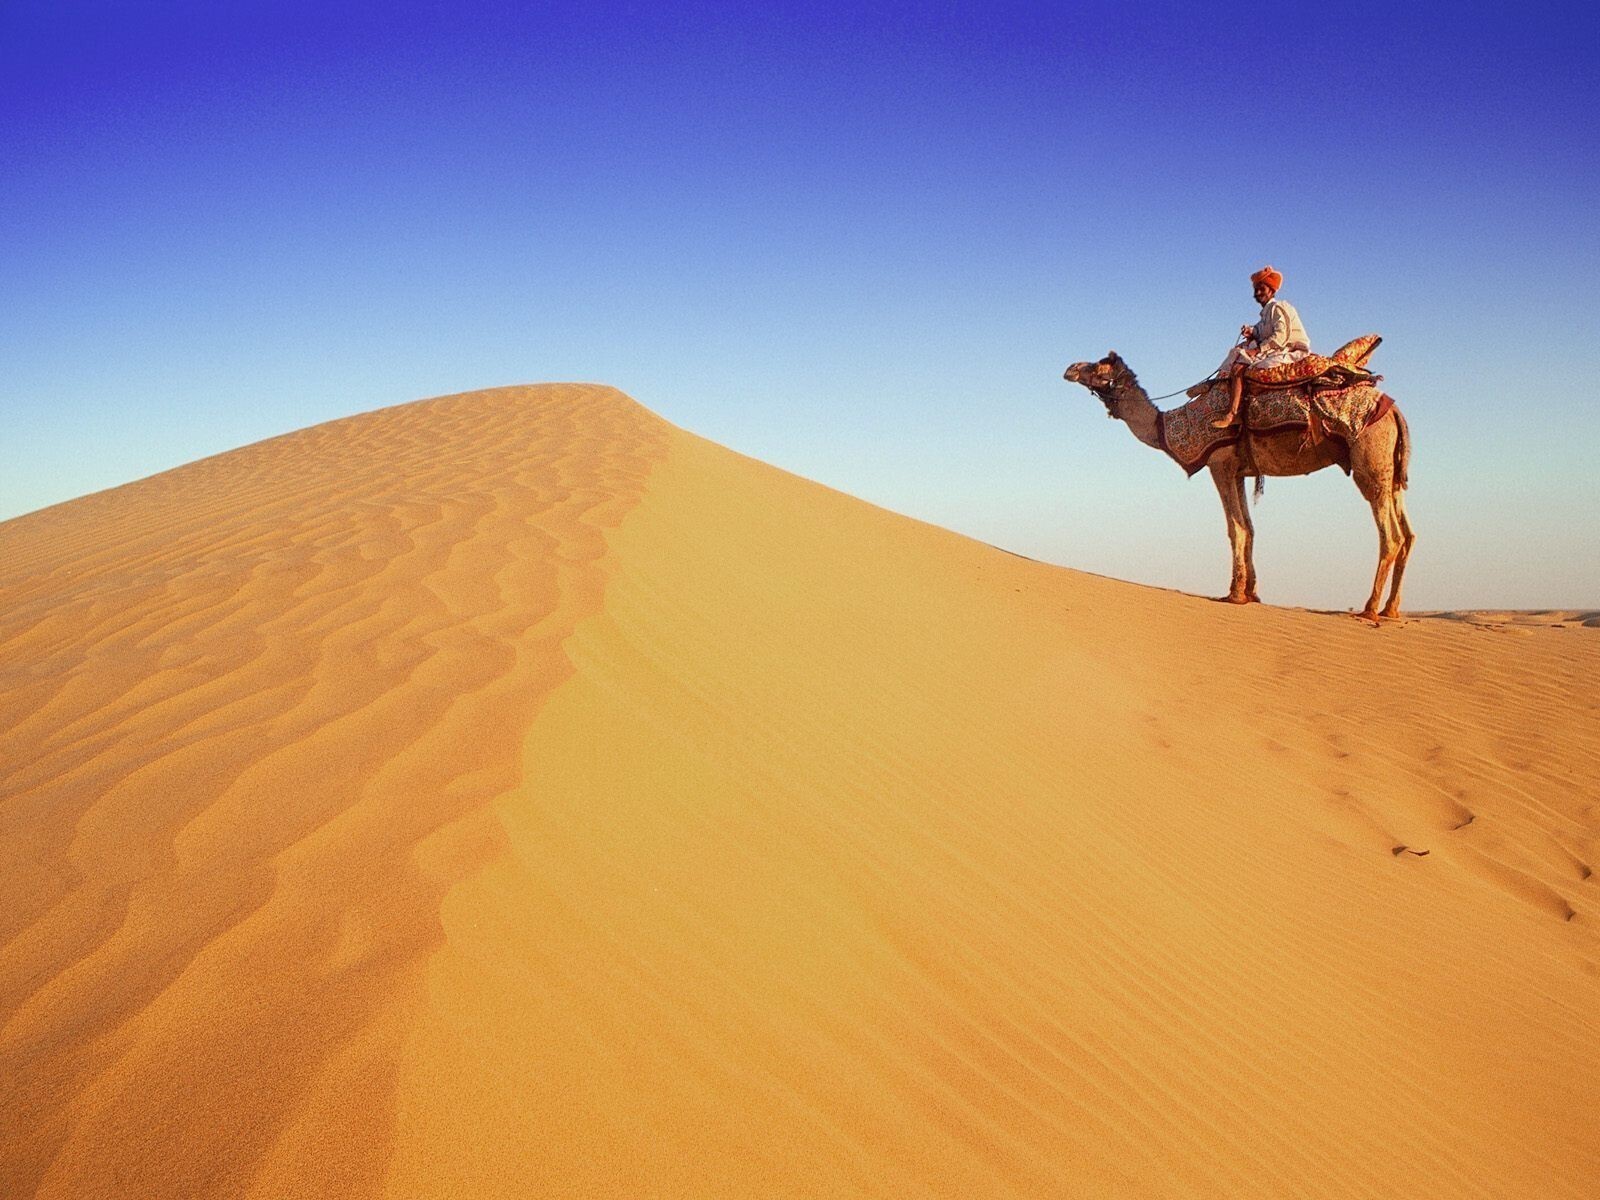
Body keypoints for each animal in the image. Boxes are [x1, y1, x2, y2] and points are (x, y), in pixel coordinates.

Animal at [1062, 352, 1414, 620]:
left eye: (1099, 365)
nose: (1071, 368)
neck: (1169, 426)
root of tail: (1396, 412)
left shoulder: (1220, 464)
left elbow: (1236, 529)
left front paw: (1233, 594)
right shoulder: (1241, 471)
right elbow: (1250, 527)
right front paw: (1252, 593)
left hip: (1370, 462)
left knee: (1391, 536)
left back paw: (1370, 609)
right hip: (1392, 473)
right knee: (1408, 534)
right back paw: (1391, 610)